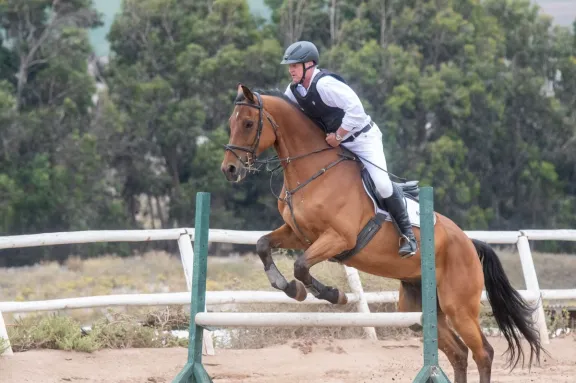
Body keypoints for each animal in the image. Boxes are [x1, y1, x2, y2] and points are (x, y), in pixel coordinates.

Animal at [218, 82, 548, 382]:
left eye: (248, 124)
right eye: (231, 123)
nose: (229, 170)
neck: (313, 170)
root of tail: (468, 242)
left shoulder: (338, 238)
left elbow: (301, 266)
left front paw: (331, 294)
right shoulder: (299, 234)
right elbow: (263, 245)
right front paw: (288, 287)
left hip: (459, 306)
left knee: (483, 353)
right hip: (420, 308)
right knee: (458, 353)